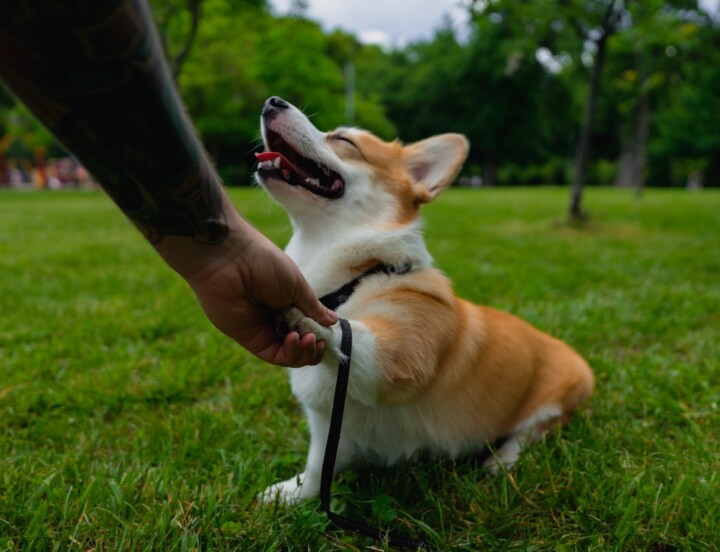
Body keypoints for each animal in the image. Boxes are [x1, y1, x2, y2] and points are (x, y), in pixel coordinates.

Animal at [256, 96, 592, 504]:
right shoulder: (328, 426)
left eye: (345, 141)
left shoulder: (397, 360)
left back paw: (500, 462)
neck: (358, 276)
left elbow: (348, 332)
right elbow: (318, 468)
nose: (272, 102)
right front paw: (289, 495)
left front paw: (308, 317)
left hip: (554, 404)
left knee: (529, 435)